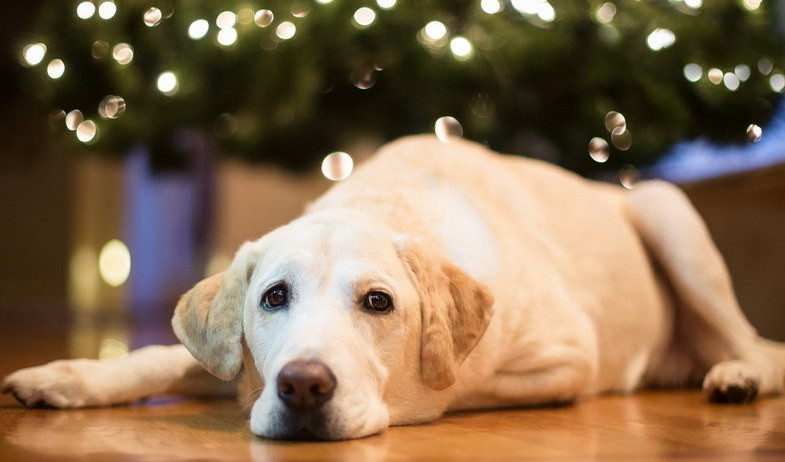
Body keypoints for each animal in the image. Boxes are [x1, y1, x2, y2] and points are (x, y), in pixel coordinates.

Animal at [1, 134, 784, 440]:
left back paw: (736, 373)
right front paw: (65, 377)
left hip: (667, 212)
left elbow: (452, 387)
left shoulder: (567, 358)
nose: (302, 386)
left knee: (758, 348)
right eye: (273, 297)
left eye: (379, 302)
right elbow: (163, 359)